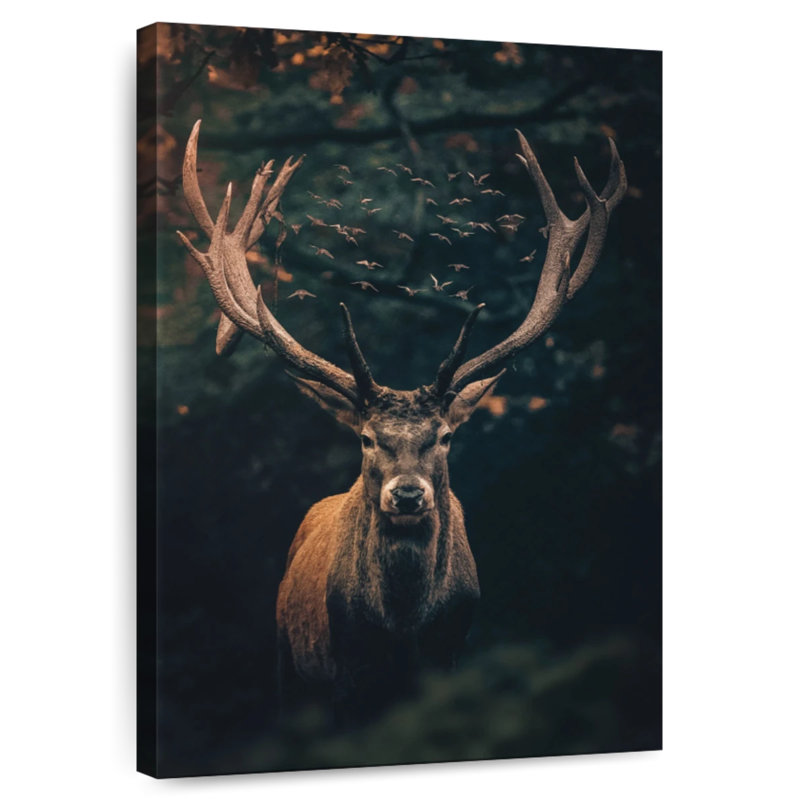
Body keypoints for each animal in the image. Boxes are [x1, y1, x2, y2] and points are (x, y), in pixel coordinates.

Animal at [177, 120, 626, 720]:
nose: (408, 495)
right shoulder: (343, 670)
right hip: (285, 657)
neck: (404, 630)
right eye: (367, 438)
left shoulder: (452, 650)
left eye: (446, 436)